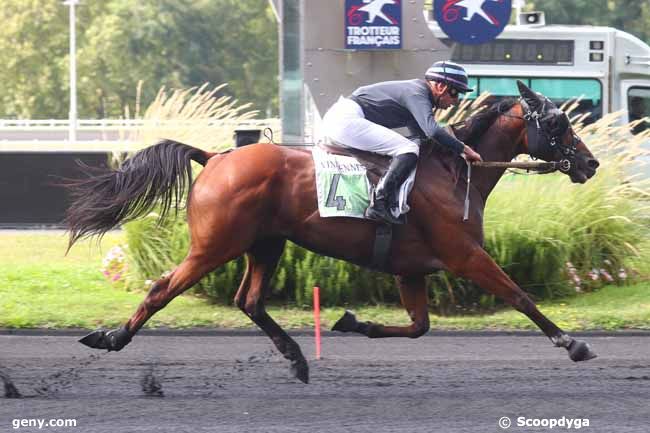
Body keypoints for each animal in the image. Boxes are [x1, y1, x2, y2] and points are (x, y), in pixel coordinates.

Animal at [67, 80, 596, 382]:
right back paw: (111, 338)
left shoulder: (411, 270)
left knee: (249, 301)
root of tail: (216, 157)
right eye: (558, 122)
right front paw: (572, 343)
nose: (589, 164)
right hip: (216, 245)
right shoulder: (465, 255)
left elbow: (419, 326)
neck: (453, 174)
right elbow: (520, 296)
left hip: (266, 243)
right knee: (162, 289)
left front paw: (351, 322)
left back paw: (298, 359)